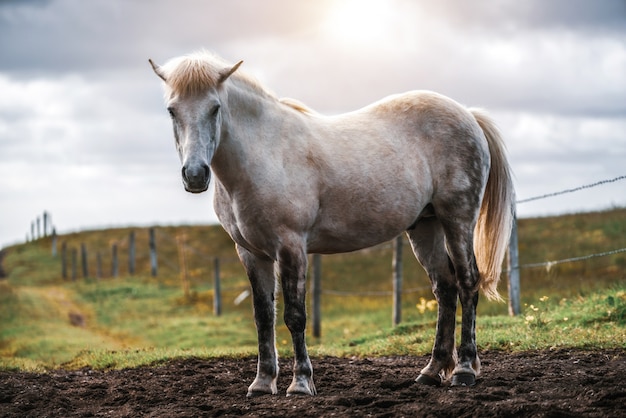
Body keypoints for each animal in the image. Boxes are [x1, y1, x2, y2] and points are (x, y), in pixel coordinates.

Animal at [151, 51, 512, 396]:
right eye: (172, 111)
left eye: (215, 108)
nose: (195, 175)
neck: (264, 155)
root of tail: (468, 115)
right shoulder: (251, 253)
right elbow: (263, 317)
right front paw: (262, 383)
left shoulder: (291, 247)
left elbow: (295, 316)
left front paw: (300, 384)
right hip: (425, 227)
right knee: (446, 289)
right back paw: (432, 371)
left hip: (457, 219)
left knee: (467, 283)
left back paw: (464, 370)